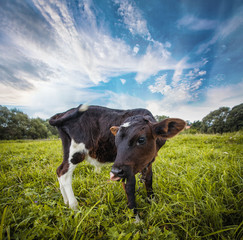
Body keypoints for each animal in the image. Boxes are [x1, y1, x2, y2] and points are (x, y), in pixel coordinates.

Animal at [49, 105, 186, 212]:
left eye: (141, 139)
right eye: (116, 140)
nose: (114, 172)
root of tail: (65, 112)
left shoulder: (148, 161)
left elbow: (148, 180)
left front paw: (152, 202)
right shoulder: (127, 167)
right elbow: (130, 187)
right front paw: (136, 219)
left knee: (59, 170)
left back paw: (66, 202)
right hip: (76, 151)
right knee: (64, 174)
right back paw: (74, 206)